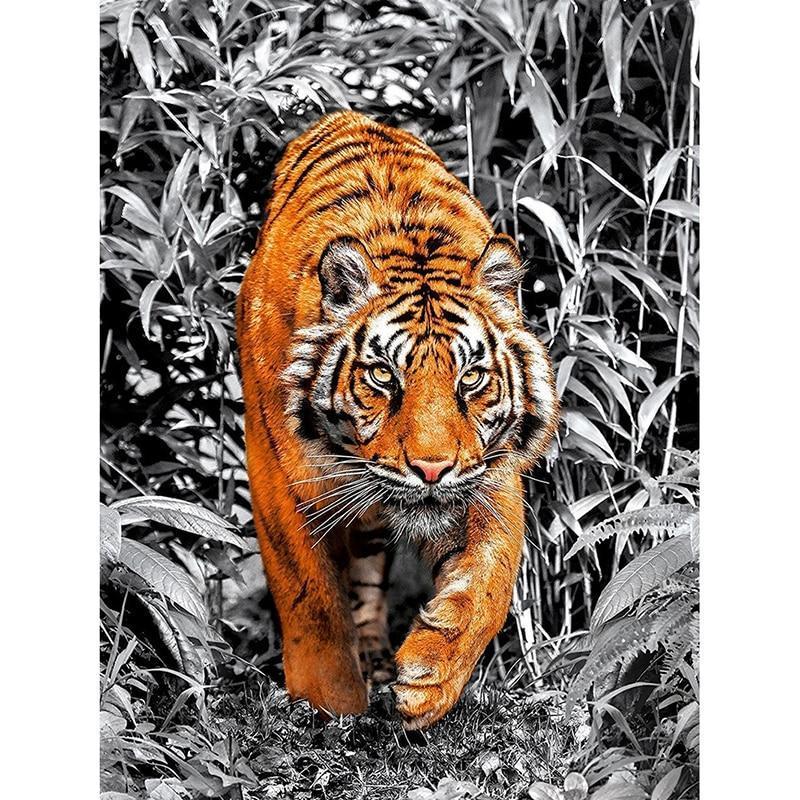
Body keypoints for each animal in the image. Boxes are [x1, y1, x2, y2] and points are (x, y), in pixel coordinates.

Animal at [236, 110, 559, 730]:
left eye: (471, 378)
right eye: (384, 375)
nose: (431, 471)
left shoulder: (492, 473)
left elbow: (493, 579)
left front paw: (430, 677)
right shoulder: (278, 473)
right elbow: (310, 596)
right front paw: (330, 704)